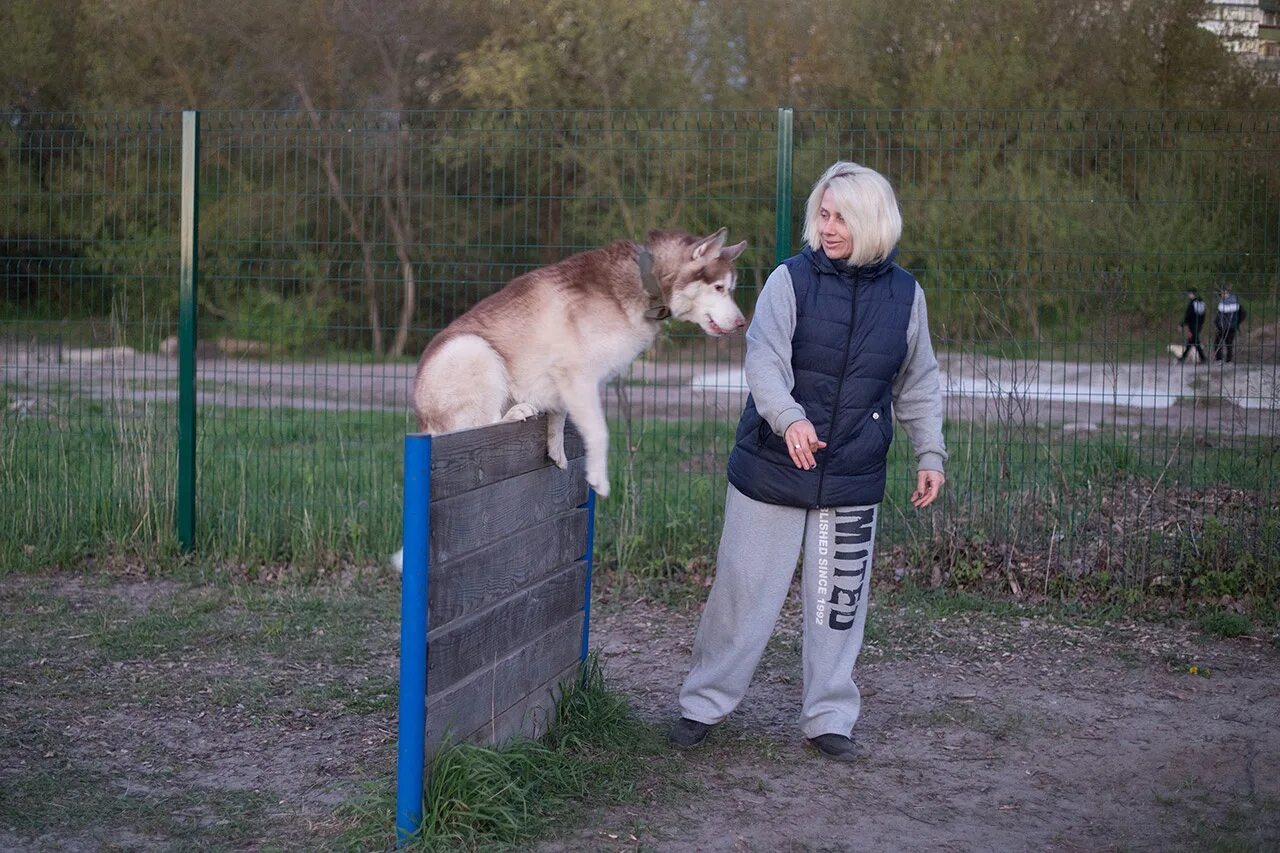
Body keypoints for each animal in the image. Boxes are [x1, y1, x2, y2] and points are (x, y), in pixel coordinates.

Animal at [409, 229, 747, 499]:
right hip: (472, 349)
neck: (645, 281)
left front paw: (555, 449)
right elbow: (599, 431)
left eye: (731, 289)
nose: (742, 323)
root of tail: (421, 418)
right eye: (719, 288)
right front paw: (598, 478)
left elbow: (558, 417)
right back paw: (514, 413)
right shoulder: (578, 375)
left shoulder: (565, 383)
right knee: (472, 425)